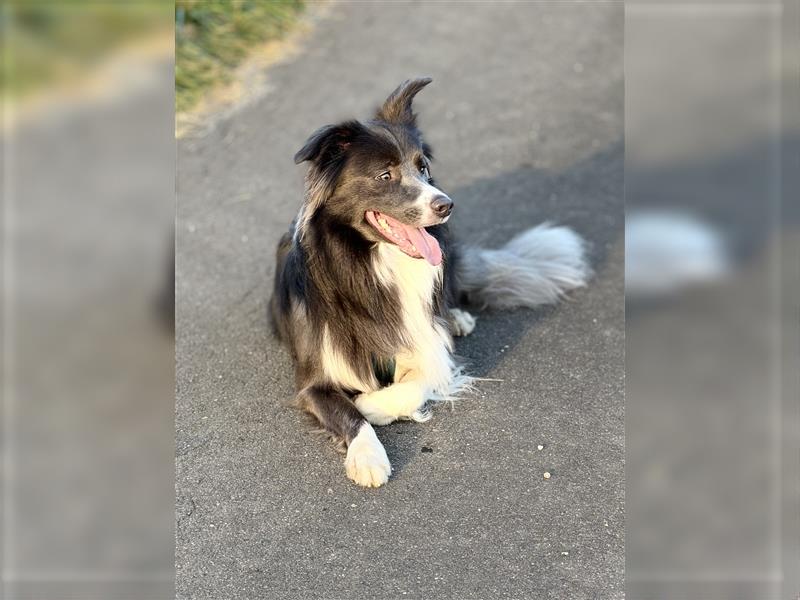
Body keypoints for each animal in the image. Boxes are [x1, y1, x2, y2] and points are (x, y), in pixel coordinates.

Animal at [268, 78, 588, 488]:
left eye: (424, 167)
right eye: (385, 175)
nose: (446, 205)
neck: (372, 265)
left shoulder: (425, 345)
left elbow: (417, 381)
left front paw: (372, 405)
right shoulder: (314, 381)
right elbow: (347, 414)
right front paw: (367, 455)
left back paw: (457, 318)